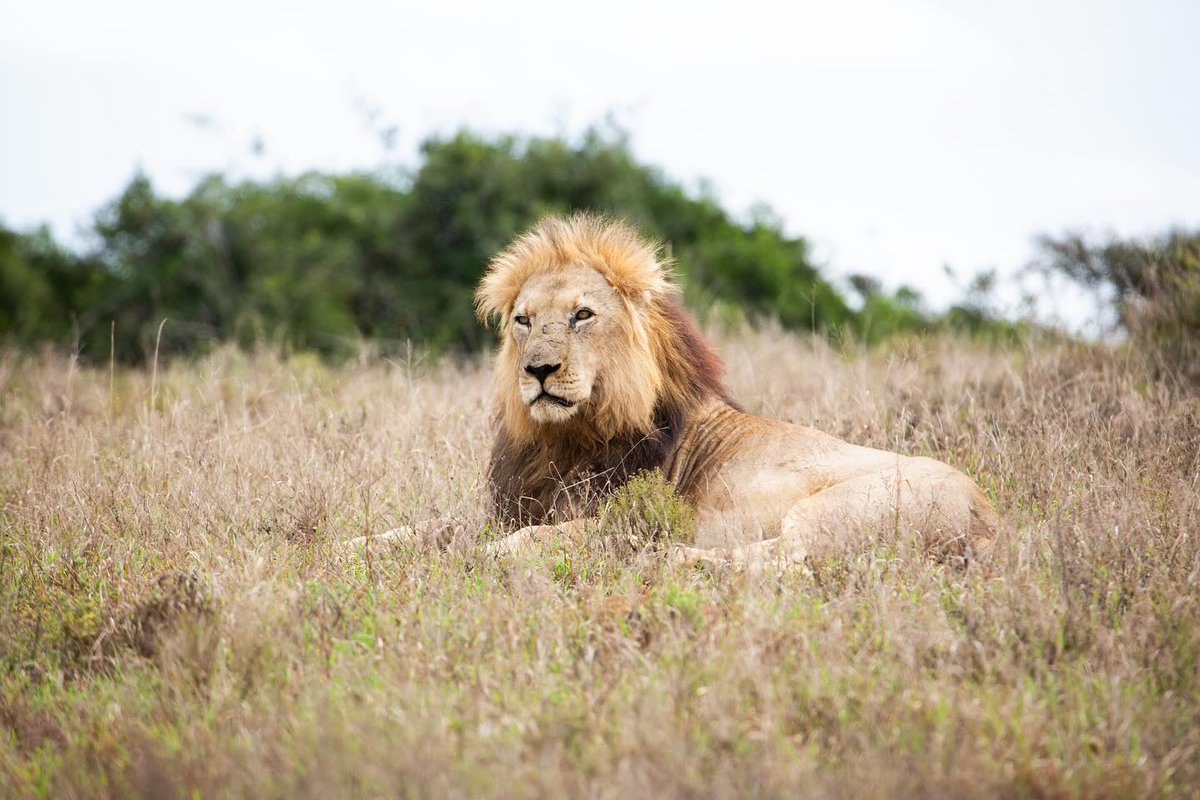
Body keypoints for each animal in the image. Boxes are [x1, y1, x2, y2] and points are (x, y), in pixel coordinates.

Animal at [472, 212, 998, 568]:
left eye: (582, 315)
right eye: (523, 321)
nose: (539, 369)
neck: (566, 438)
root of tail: (991, 522)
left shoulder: (630, 510)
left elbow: (534, 537)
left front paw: (485, 553)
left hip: (831, 510)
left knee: (783, 563)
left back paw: (659, 555)